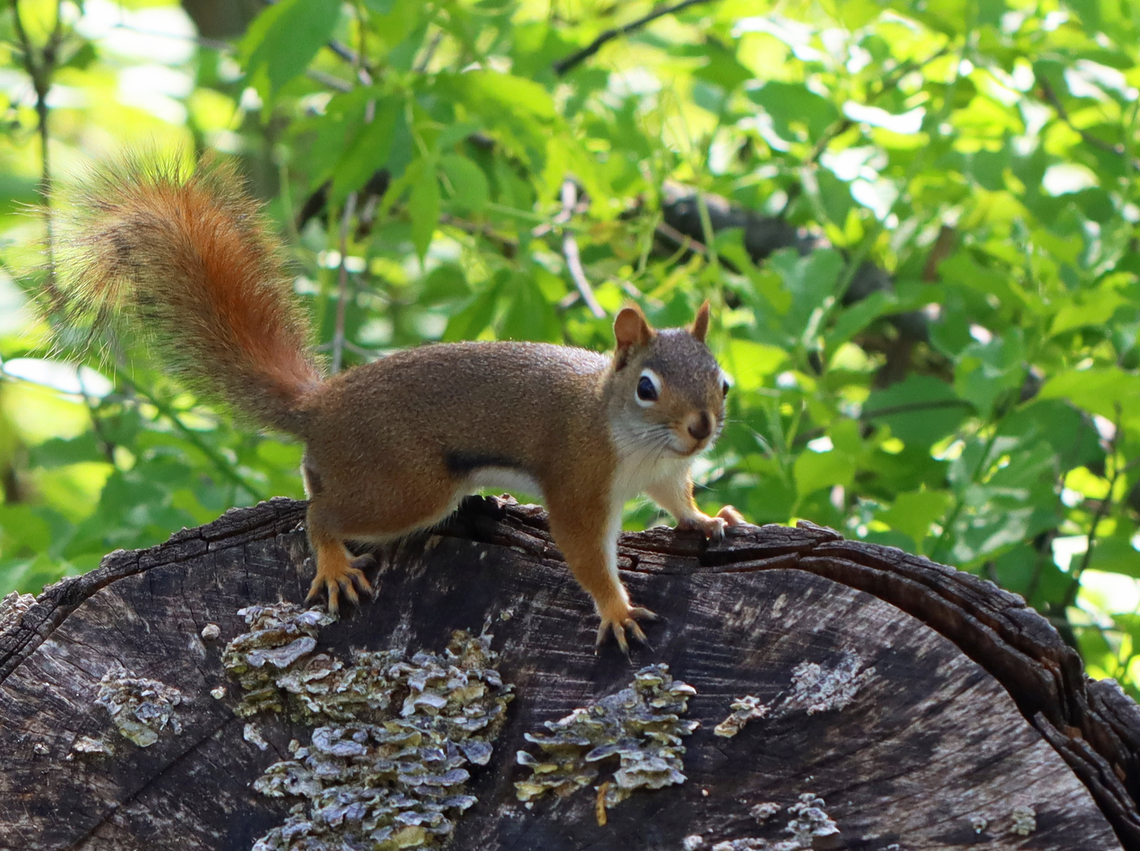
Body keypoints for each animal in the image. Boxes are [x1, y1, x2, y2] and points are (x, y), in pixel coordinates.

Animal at [51, 156, 746, 652]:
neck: (634, 442)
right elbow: (583, 551)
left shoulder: (665, 473)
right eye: (647, 388)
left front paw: (711, 520)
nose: (702, 428)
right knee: (322, 513)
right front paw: (617, 608)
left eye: (723, 381)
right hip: (408, 484)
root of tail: (322, 406)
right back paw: (334, 562)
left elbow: (679, 502)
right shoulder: (578, 480)